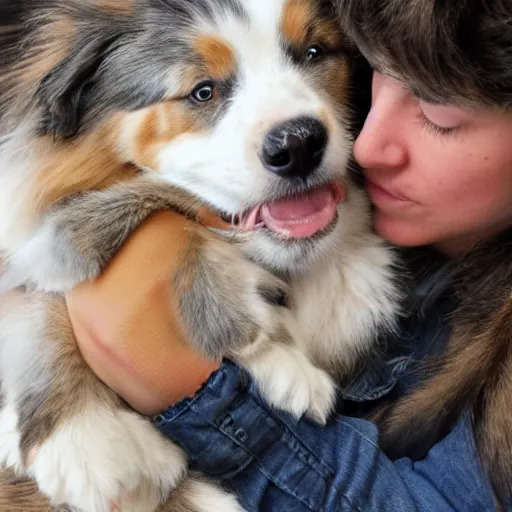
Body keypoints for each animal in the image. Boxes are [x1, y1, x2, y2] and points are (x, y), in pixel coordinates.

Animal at [0, 0, 398, 510]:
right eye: (203, 91)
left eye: (314, 52)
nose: (297, 144)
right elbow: (39, 292)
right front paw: (87, 437)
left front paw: (275, 354)